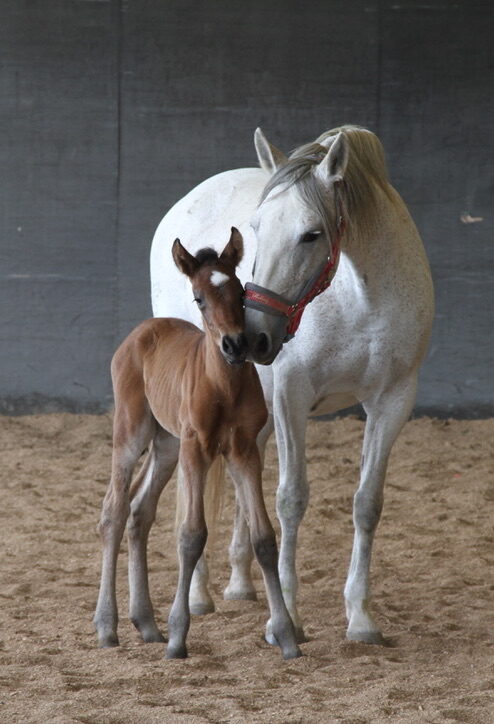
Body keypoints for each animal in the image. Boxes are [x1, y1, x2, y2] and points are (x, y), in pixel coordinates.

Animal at [93, 229, 302, 660]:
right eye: (199, 298)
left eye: (241, 292)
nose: (236, 345)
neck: (223, 386)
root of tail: (141, 331)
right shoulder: (196, 449)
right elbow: (191, 536)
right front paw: (178, 637)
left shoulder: (244, 450)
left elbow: (263, 538)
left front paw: (286, 636)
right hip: (134, 432)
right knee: (114, 511)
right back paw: (108, 626)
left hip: (166, 445)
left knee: (139, 512)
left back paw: (147, 623)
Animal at [150, 124, 432, 644]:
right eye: (257, 229)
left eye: (311, 234)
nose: (255, 336)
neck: (358, 297)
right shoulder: (291, 396)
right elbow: (291, 499)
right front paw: (289, 618)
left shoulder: (393, 400)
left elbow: (367, 503)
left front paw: (360, 616)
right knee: (192, 483)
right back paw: (198, 596)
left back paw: (241, 583)